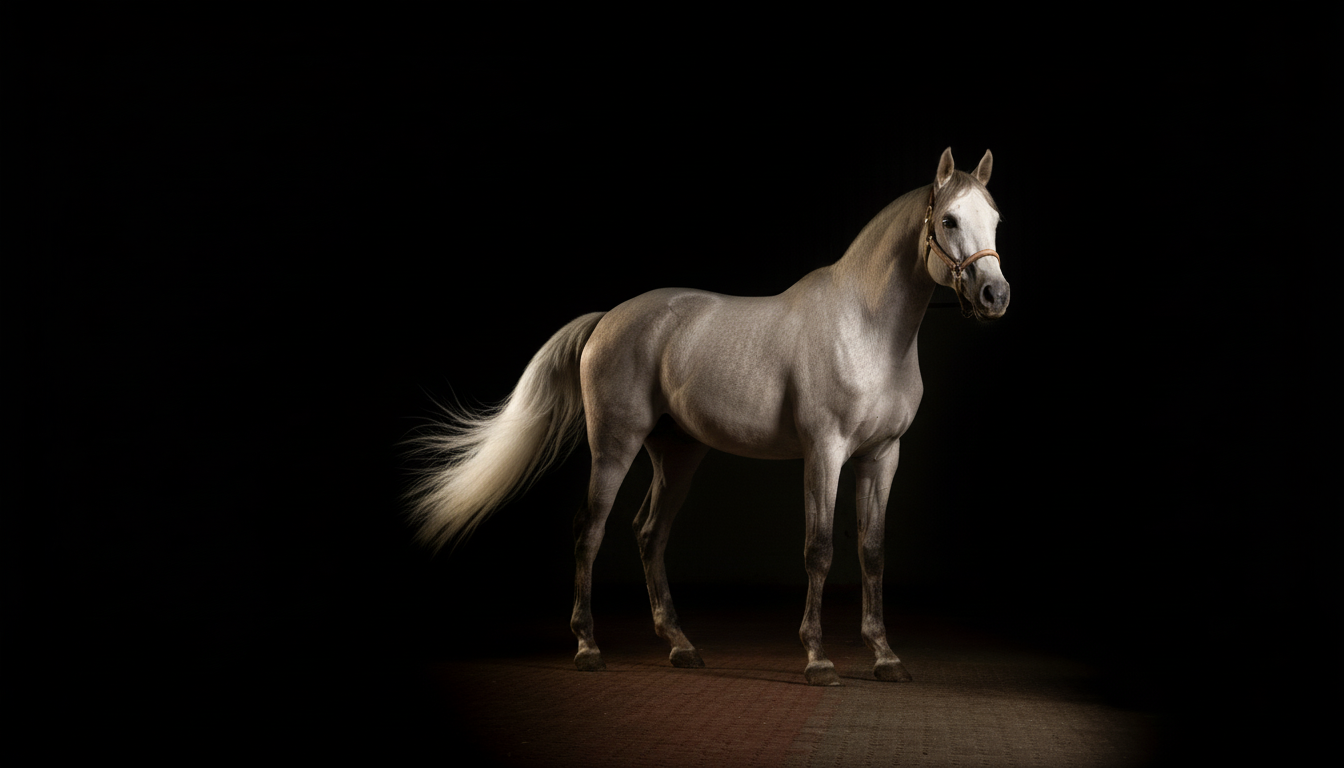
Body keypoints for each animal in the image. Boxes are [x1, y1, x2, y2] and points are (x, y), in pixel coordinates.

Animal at [409, 147, 1009, 685]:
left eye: (996, 220)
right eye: (949, 219)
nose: (994, 294)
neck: (864, 328)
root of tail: (608, 319)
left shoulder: (881, 456)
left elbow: (873, 551)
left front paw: (885, 657)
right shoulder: (825, 452)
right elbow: (819, 549)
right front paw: (818, 659)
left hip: (678, 453)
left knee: (649, 533)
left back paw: (681, 645)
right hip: (614, 445)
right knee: (590, 529)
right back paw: (587, 647)